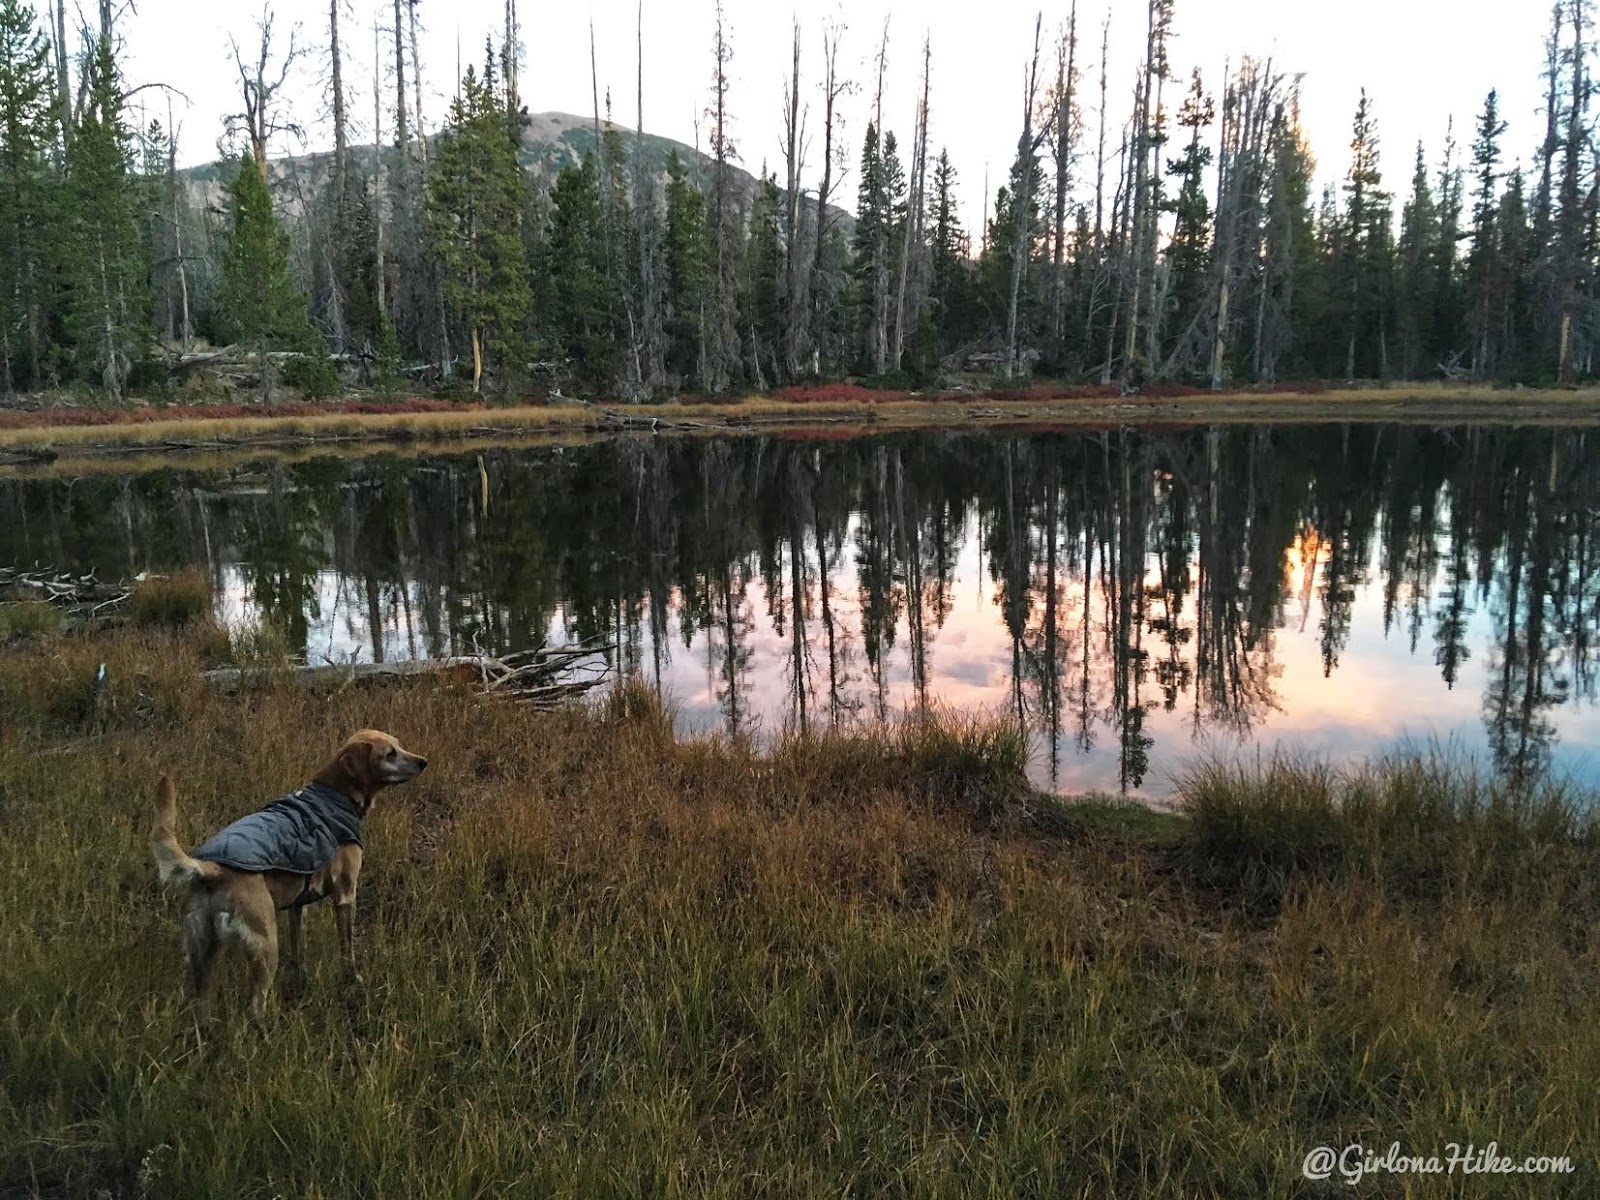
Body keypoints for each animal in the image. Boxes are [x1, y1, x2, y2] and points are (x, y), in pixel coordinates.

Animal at [148, 729, 425, 1017]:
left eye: (399, 746)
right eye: (389, 754)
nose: (423, 762)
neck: (335, 793)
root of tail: (212, 870)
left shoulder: (297, 906)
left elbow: (298, 950)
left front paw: (301, 980)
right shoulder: (346, 894)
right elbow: (347, 948)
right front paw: (352, 979)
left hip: (204, 957)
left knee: (203, 1005)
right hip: (265, 946)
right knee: (255, 1007)